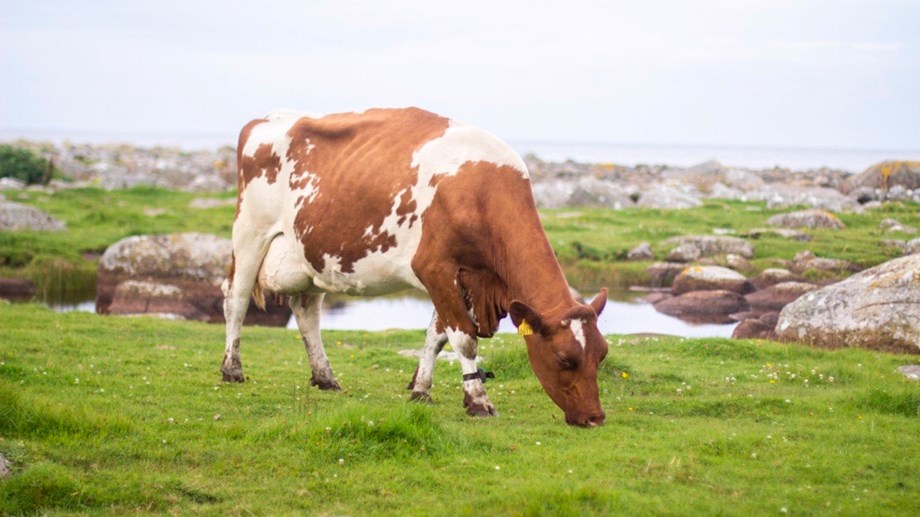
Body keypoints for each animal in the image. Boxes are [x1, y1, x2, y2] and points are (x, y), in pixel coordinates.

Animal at [223, 107, 612, 426]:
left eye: (602, 355)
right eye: (564, 359)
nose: (595, 418)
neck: (479, 192)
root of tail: (265, 118)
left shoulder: (462, 277)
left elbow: (436, 335)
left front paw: (421, 389)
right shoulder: (434, 267)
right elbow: (463, 338)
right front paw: (478, 401)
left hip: (313, 256)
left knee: (306, 311)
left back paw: (325, 378)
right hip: (249, 234)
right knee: (236, 299)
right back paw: (232, 369)